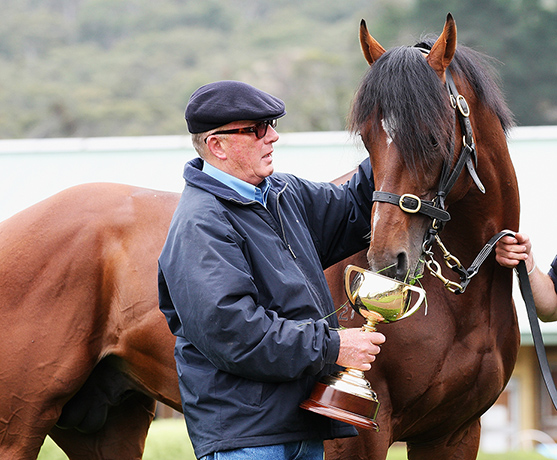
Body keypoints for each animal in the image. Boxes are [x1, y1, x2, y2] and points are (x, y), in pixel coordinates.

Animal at [324, 13, 520, 460]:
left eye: (431, 138)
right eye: (368, 139)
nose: (384, 262)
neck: (464, 305)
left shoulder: (454, 433)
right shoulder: (357, 433)